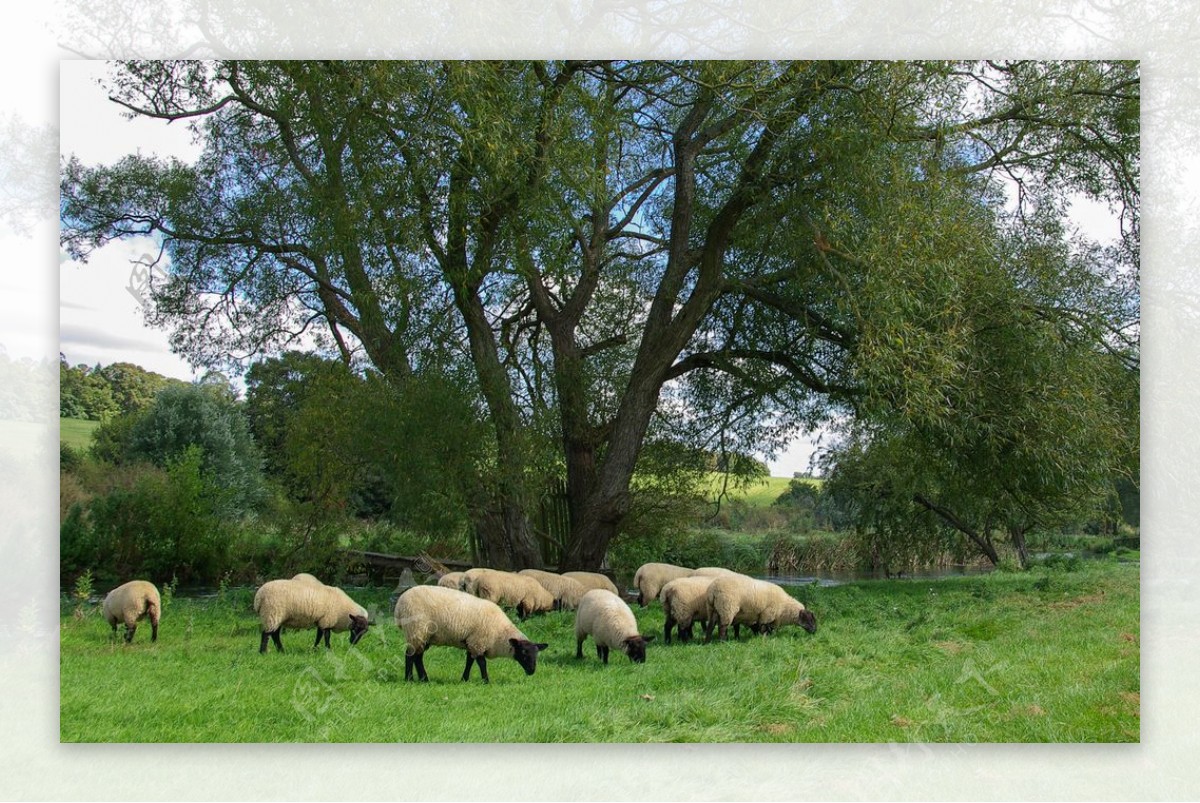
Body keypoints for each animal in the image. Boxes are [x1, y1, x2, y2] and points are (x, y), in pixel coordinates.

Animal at [393, 583, 549, 681]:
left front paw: (464, 679)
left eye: (536, 654)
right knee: (410, 655)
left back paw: (424, 679)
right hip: (416, 629)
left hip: (424, 635)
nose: (532, 671)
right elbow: (482, 663)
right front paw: (486, 681)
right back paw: (409, 679)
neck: (500, 633)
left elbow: (469, 661)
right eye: (523, 652)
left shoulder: (472, 642)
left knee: (418, 657)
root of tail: (399, 606)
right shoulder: (478, 642)